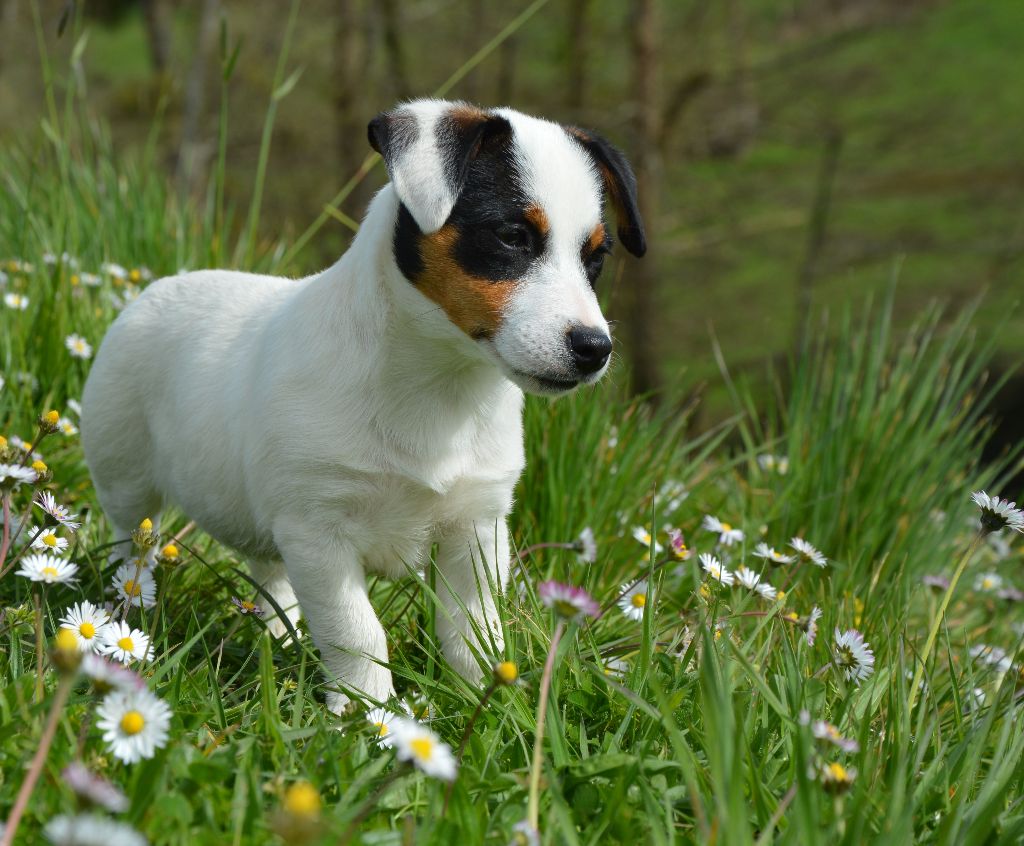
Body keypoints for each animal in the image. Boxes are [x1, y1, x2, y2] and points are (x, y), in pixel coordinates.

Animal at [83, 98, 643, 708]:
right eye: (512, 236)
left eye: (596, 257)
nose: (595, 348)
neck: (437, 384)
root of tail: (154, 289)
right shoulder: (318, 530)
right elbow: (357, 631)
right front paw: (367, 713)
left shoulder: (476, 528)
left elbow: (473, 628)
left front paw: (484, 702)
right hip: (125, 474)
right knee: (131, 546)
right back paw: (130, 605)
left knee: (269, 574)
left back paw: (279, 636)